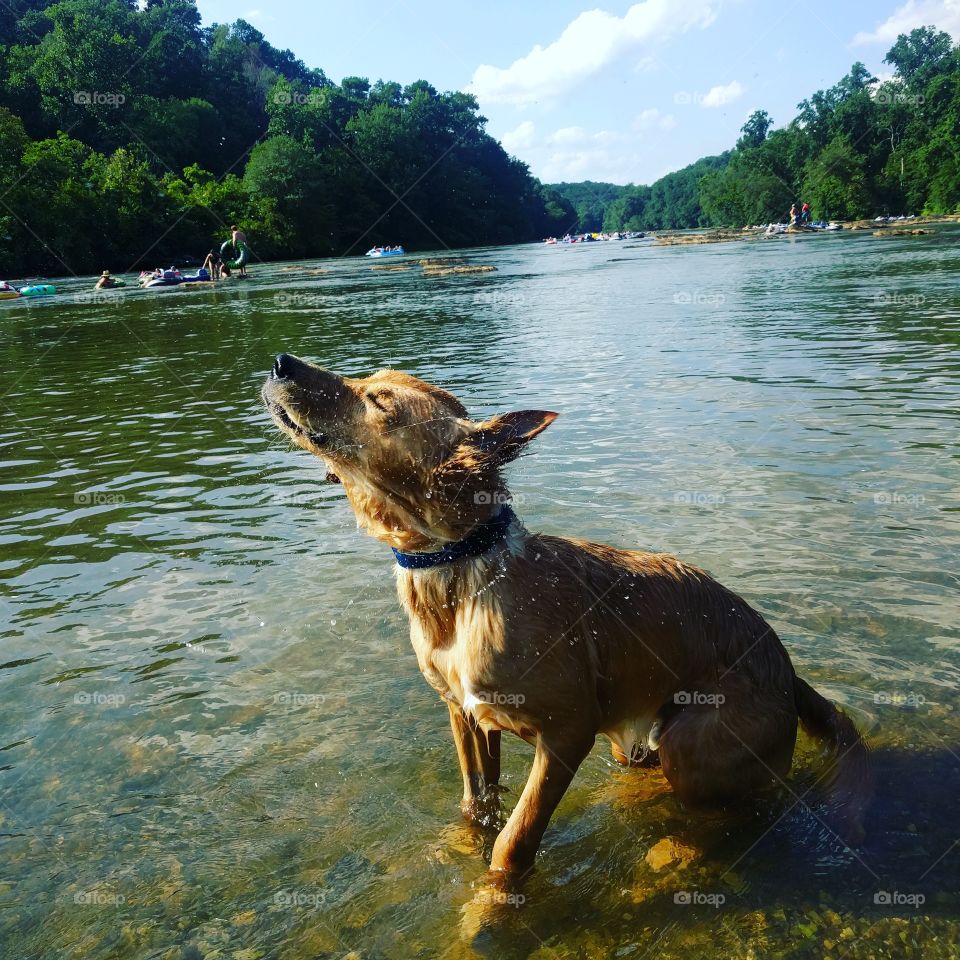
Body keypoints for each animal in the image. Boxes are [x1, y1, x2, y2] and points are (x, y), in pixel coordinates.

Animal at [260, 354, 872, 876]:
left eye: (379, 400)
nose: (280, 363)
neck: (463, 580)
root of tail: (789, 672)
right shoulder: (463, 715)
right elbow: (476, 802)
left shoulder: (568, 732)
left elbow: (514, 839)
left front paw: (492, 905)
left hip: (693, 746)